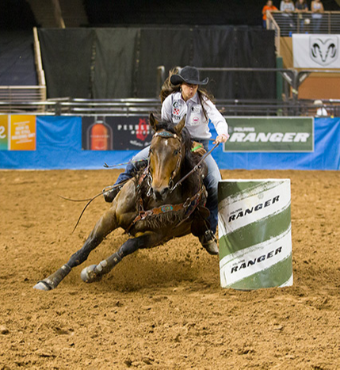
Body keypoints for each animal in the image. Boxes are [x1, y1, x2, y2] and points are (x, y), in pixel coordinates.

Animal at [33, 114, 211, 290]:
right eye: (151, 150)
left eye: (176, 151)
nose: (159, 190)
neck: (149, 200)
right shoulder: (110, 215)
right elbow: (86, 248)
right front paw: (50, 280)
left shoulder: (157, 235)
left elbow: (126, 247)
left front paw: (95, 271)